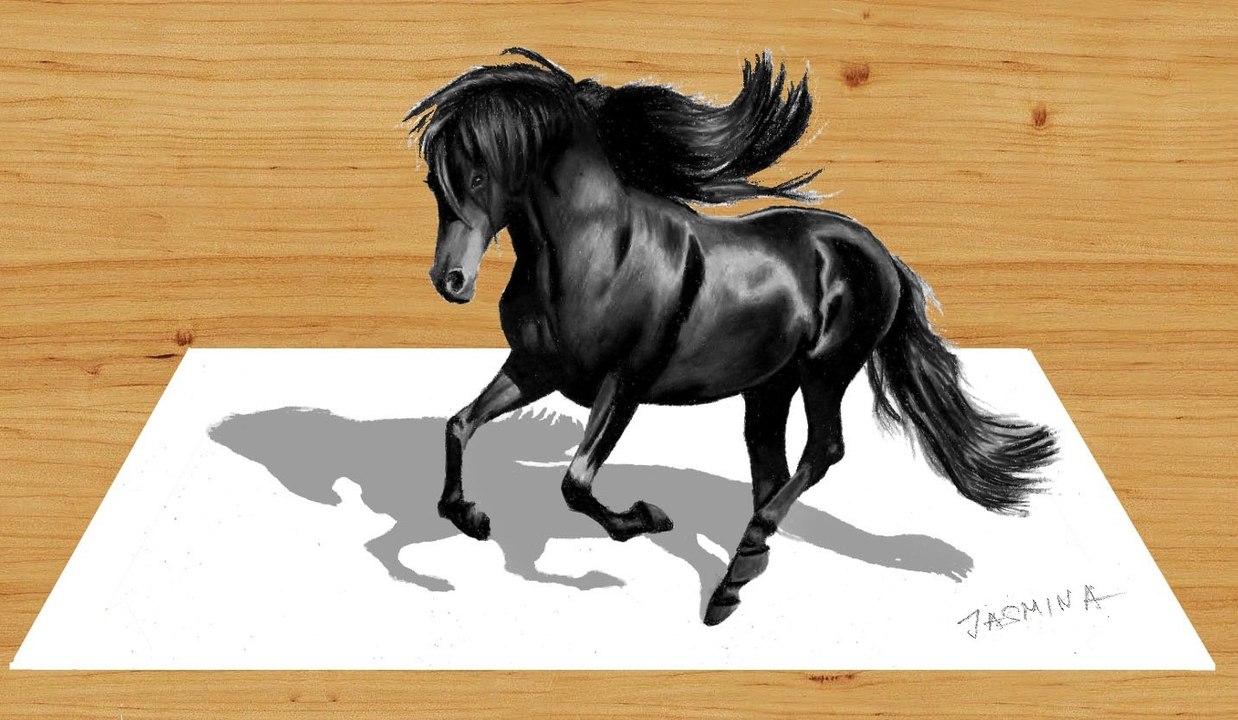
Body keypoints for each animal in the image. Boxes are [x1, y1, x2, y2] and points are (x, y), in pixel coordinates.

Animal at [402, 48, 1058, 626]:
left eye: (478, 174)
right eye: (435, 183)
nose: (450, 281)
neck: (594, 252)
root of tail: (877, 253)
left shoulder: (625, 384)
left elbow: (576, 483)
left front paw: (645, 518)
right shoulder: (537, 368)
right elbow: (459, 425)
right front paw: (469, 516)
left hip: (825, 371)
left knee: (822, 452)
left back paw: (740, 563)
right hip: (769, 388)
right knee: (772, 469)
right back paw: (739, 575)